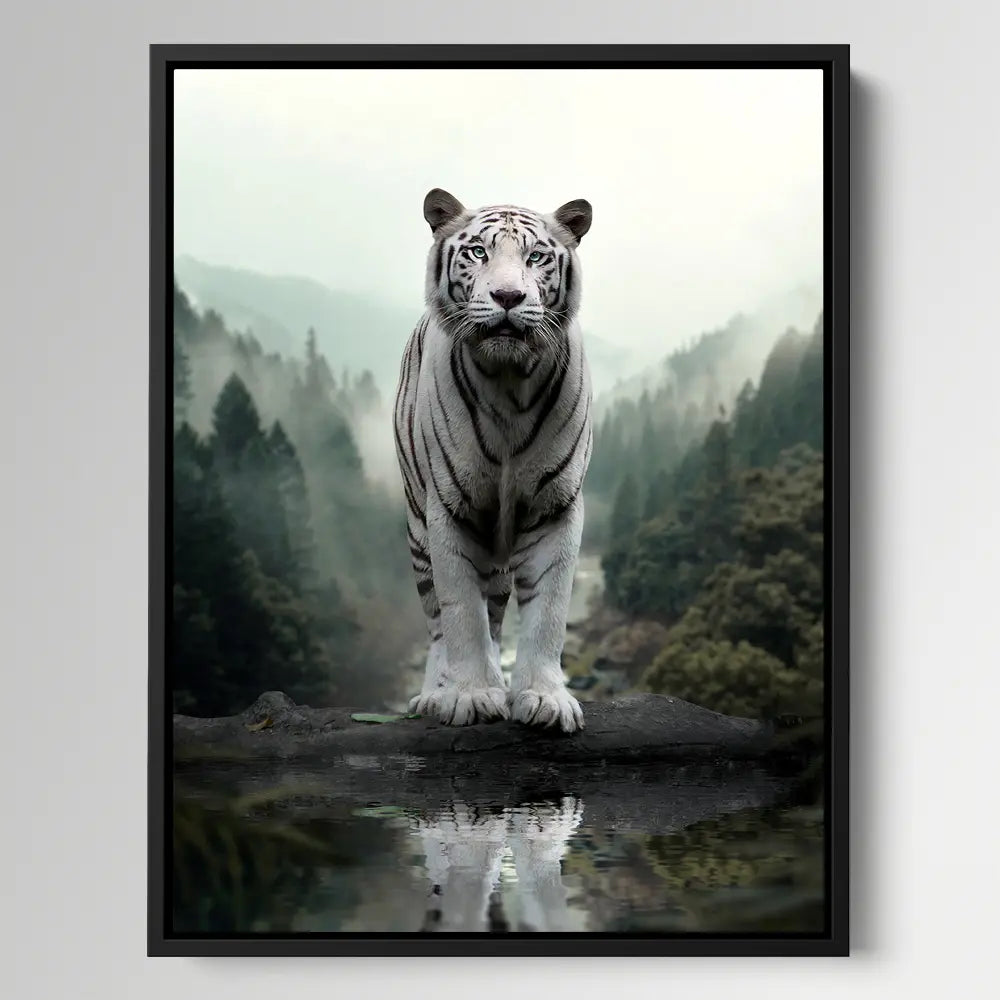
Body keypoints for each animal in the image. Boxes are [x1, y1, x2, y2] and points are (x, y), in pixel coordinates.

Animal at [393, 188, 594, 733]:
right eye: (479, 252)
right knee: (438, 622)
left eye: (536, 256)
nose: (508, 297)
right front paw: (471, 695)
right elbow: (461, 613)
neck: (508, 382)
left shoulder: (555, 507)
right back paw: (434, 695)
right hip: (417, 532)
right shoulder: (449, 509)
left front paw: (544, 698)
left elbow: (549, 611)